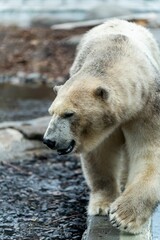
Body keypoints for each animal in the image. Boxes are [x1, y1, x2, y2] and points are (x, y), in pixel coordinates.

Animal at [42, 19, 160, 233]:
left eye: (69, 114)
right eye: (51, 112)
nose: (49, 141)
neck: (115, 54)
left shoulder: (147, 106)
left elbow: (149, 151)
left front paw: (124, 216)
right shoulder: (101, 128)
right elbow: (100, 154)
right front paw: (103, 206)